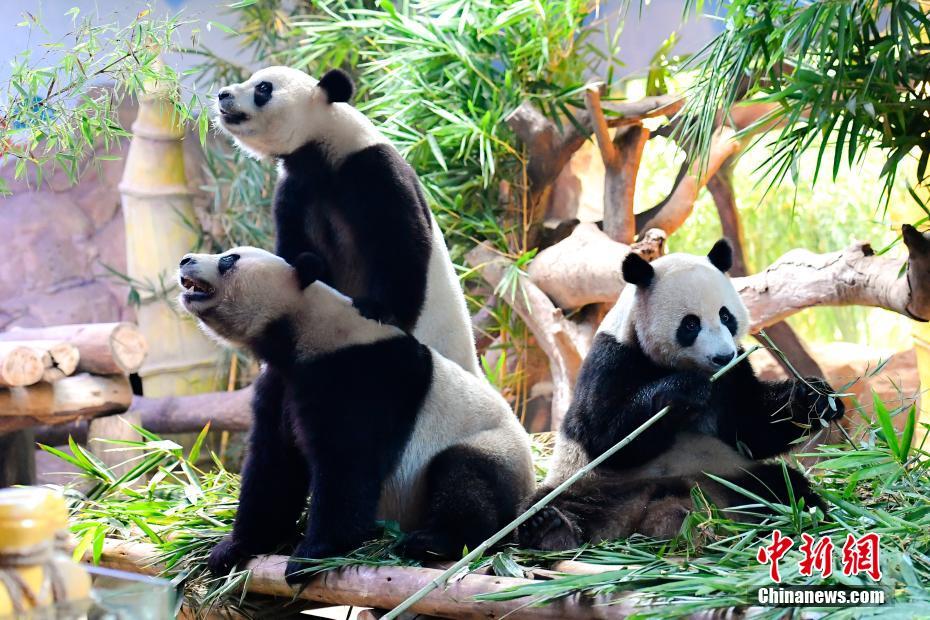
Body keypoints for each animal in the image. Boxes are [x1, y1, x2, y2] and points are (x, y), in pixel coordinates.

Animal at [177, 247, 534, 581]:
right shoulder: (282, 381)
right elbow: (274, 462)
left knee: (464, 476)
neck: (304, 327)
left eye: (229, 260)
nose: (185, 260)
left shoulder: (358, 377)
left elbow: (347, 465)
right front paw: (234, 547)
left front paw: (310, 556)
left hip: (494, 450)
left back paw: (431, 541)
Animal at [215, 65, 479, 376]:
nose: (223, 94)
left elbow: (401, 245)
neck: (321, 151)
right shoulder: (295, 191)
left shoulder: (374, 170)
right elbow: (297, 252)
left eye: (263, 88)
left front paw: (378, 310)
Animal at [517, 240, 844, 551]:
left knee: (781, 486)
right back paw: (550, 528)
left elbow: (751, 428)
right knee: (550, 503)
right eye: (690, 323)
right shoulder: (612, 357)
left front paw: (815, 399)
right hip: (592, 484)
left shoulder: (734, 374)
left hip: (728, 476)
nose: (722, 356)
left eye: (726, 316)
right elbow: (603, 435)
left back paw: (803, 516)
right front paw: (683, 391)